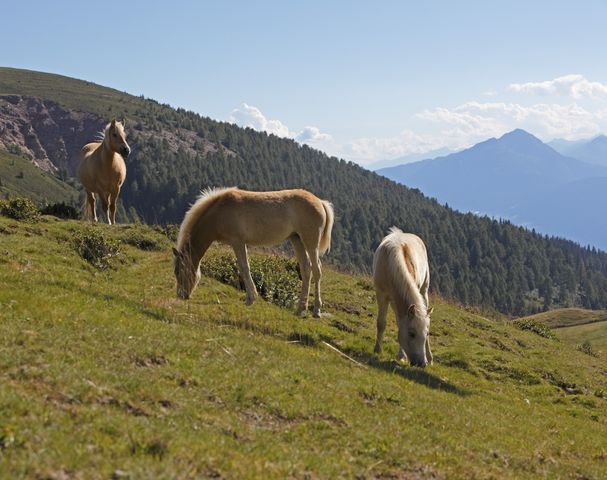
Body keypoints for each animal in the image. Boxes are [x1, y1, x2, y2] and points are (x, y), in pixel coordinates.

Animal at [171, 188, 334, 318]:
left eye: (180, 271)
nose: (181, 295)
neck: (219, 212)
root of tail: (320, 202)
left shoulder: (238, 242)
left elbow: (244, 267)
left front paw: (251, 298)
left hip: (310, 242)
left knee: (316, 270)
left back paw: (316, 310)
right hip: (296, 239)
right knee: (306, 269)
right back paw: (300, 309)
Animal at [372, 228, 434, 368]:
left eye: (426, 333)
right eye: (412, 334)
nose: (422, 363)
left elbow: (400, 324)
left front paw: (401, 356)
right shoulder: (381, 294)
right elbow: (381, 323)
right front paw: (377, 349)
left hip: (423, 292)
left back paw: (429, 357)